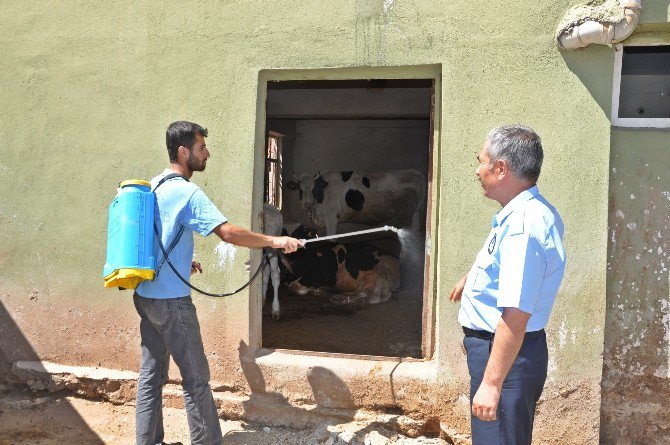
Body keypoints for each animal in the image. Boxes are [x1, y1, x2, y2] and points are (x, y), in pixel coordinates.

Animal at [288, 169, 426, 236]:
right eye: (300, 189)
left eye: (314, 189)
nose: (307, 204)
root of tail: (414, 171)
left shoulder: (332, 218)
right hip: (415, 214)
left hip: (407, 213)